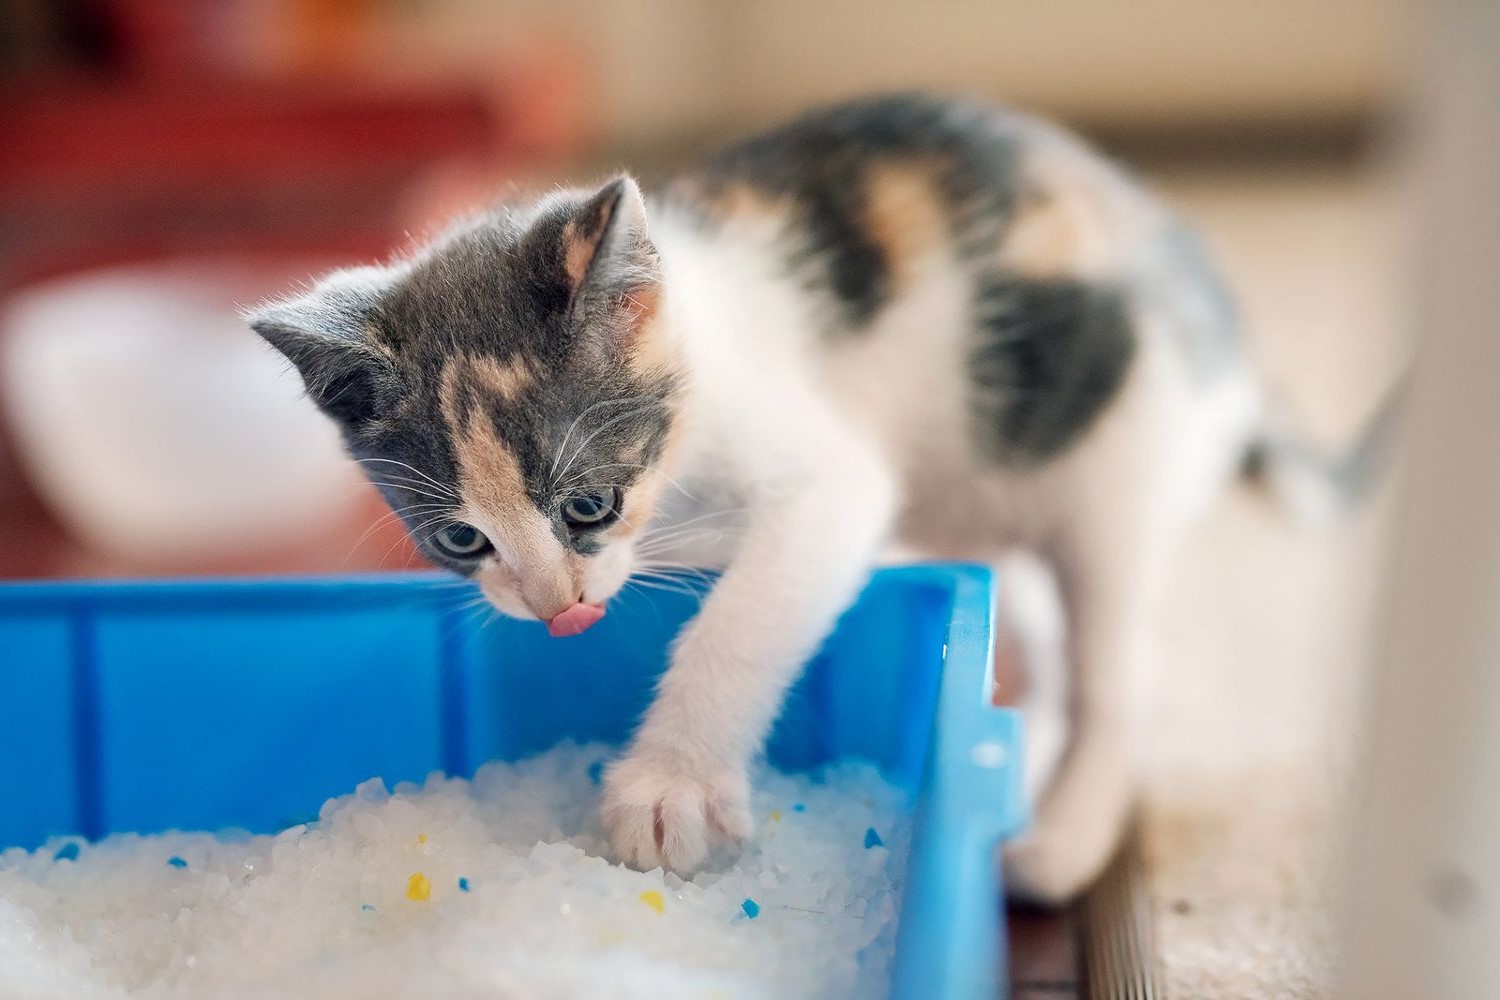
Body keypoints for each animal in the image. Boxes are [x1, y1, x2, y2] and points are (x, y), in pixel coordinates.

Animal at [249, 95, 1380, 905]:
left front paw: (670, 784)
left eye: (590, 506)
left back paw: (1062, 836)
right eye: (460, 537)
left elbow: (744, 617)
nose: (558, 609)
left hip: (1110, 458)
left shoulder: (826, 476)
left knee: (1117, 666)